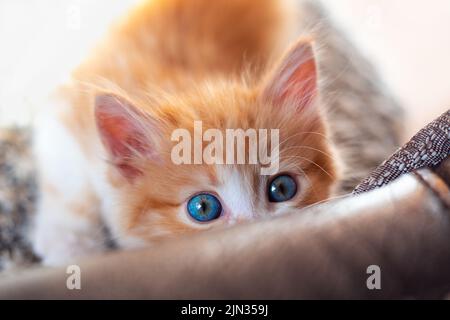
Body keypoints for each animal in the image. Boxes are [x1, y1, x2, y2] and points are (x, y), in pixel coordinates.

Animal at [31, 0, 400, 264]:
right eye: (203, 208)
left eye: (282, 188)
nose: (256, 235)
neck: (190, 85)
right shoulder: (69, 108)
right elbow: (68, 175)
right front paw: (69, 245)